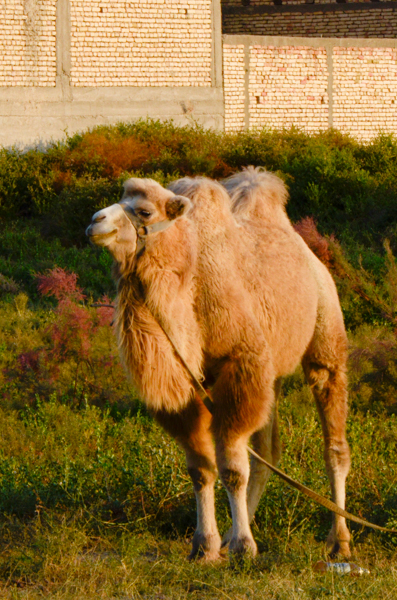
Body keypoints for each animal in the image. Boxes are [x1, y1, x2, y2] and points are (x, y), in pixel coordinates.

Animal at [86, 168, 350, 556]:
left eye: (145, 211)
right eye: (120, 200)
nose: (95, 221)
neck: (190, 285)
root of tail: (313, 260)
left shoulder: (240, 367)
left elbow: (233, 469)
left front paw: (243, 545)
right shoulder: (189, 384)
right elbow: (201, 469)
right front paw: (206, 545)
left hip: (326, 332)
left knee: (333, 444)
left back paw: (339, 541)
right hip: (272, 370)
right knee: (268, 452)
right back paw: (230, 536)